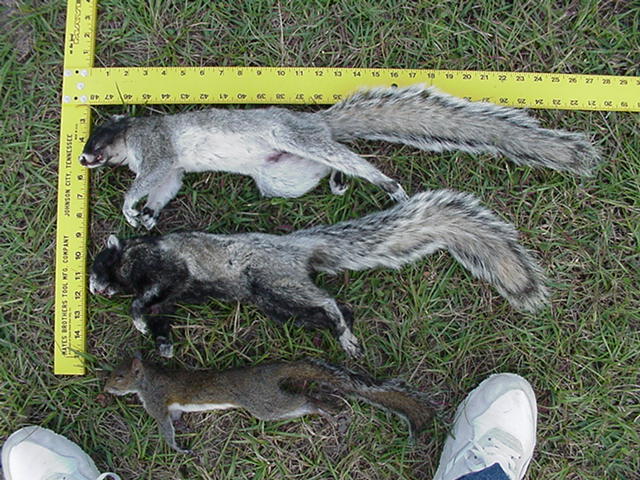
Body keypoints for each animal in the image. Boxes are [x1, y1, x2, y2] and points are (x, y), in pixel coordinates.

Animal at [78, 84, 600, 229]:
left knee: (348, 156)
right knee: (329, 162)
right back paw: (337, 180)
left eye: (96, 138)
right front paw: (147, 214)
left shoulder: (156, 145)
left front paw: (130, 205)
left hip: (294, 136)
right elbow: (168, 184)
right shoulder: (170, 169)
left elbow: (154, 173)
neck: (130, 141)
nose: (81, 160)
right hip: (282, 175)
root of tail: (323, 124)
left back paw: (384, 183)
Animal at [90, 189, 548, 358]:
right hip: (275, 301)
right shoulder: (172, 293)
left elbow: (147, 297)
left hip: (274, 281)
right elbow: (161, 312)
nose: (94, 288)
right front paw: (162, 341)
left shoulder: (166, 267)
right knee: (327, 307)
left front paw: (138, 317)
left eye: (97, 263)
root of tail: (297, 247)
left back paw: (343, 329)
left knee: (327, 300)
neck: (133, 258)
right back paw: (343, 331)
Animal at [104, 355, 435, 454]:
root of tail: (270, 371)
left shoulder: (157, 401)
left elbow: (164, 427)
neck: (148, 379)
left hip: (265, 404)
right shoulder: (171, 407)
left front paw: (178, 449)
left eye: (119, 376)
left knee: (303, 400)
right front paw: (183, 428)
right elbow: (175, 419)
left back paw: (324, 409)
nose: (105, 387)